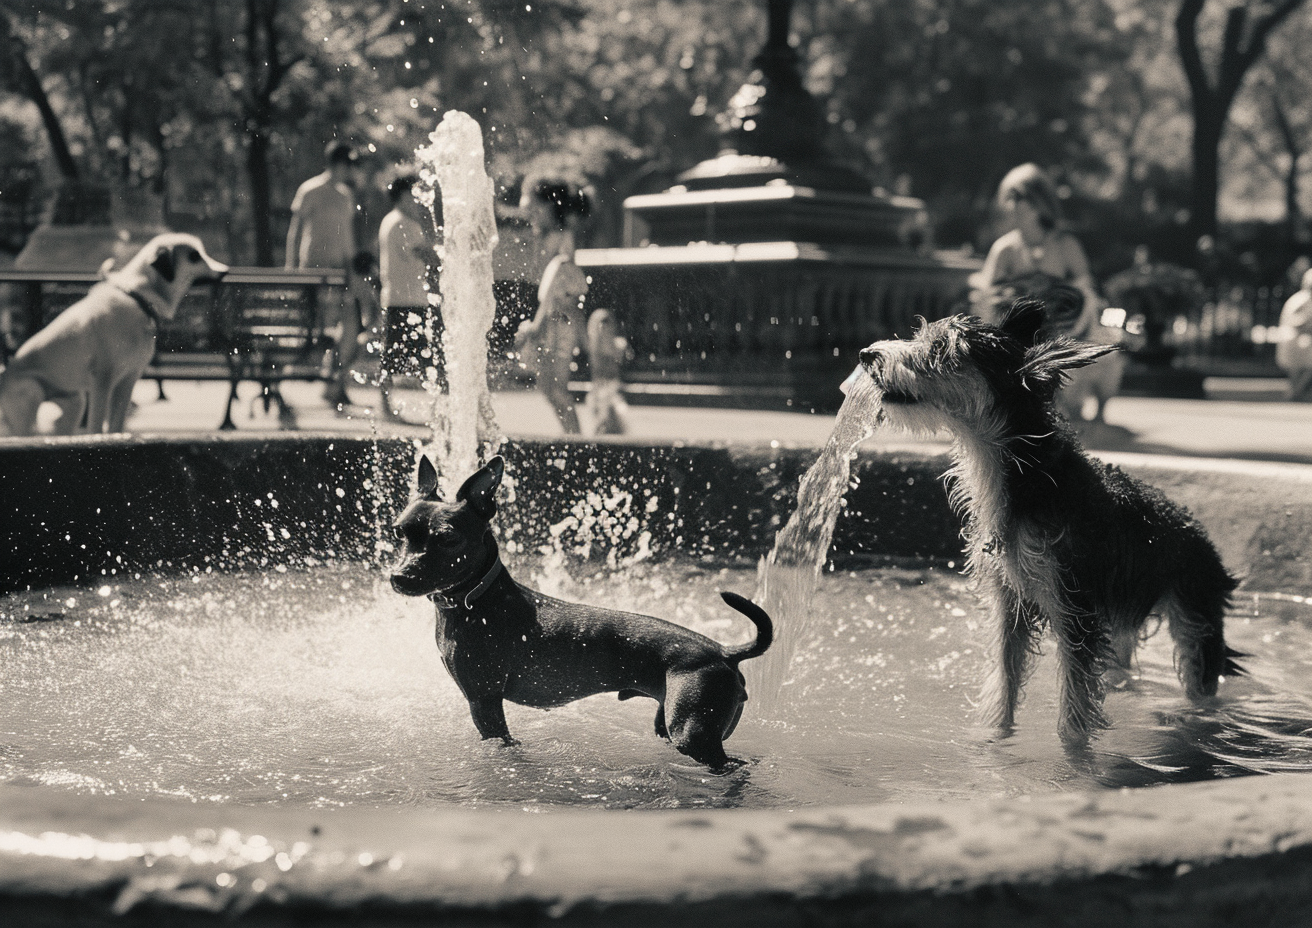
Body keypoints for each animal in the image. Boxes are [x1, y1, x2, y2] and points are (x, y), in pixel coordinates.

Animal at [0, 232, 226, 435]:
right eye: (194, 256)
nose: (225, 270)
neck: (139, 298)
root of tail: (5, 376)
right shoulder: (103, 380)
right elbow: (96, 425)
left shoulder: (128, 379)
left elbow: (116, 424)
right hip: (31, 393)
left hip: (75, 401)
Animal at [393, 456, 771, 771]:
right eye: (399, 532)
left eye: (448, 540)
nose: (398, 577)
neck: (478, 598)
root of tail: (724, 651)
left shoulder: (484, 703)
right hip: (674, 724)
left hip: (692, 732)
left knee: (734, 766)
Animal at [860, 301, 1238, 745]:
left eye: (940, 348)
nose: (866, 354)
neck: (1022, 477)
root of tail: (1199, 532)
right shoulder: (1009, 602)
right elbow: (1003, 686)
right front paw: (992, 742)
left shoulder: (1075, 609)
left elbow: (1074, 713)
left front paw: (1073, 759)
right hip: (1124, 617)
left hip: (1195, 616)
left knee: (1200, 677)